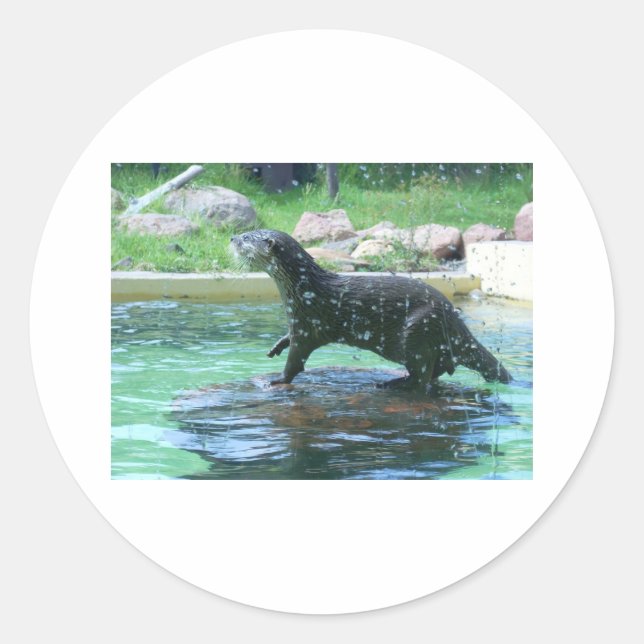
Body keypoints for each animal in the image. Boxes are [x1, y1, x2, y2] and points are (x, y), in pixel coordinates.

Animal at [230, 229, 511, 388]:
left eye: (246, 237)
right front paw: (276, 346)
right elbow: (287, 338)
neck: (302, 290)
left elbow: (295, 362)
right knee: (438, 370)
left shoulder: (308, 325)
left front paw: (278, 380)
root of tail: (456, 323)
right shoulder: (297, 321)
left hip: (418, 329)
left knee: (423, 377)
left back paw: (394, 384)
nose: (231, 237)